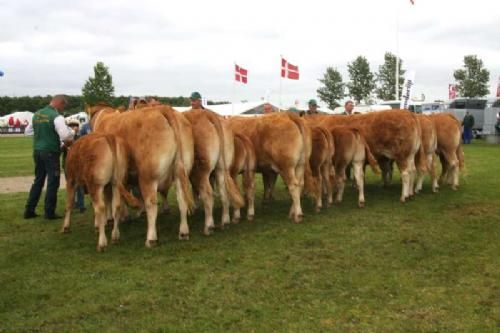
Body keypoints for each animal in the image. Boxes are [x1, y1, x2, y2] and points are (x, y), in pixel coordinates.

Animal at [88, 104, 193, 246]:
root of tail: (164, 108)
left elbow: (109, 199)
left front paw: (108, 220)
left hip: (148, 177)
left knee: (151, 204)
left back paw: (151, 239)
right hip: (181, 172)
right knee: (182, 200)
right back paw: (183, 232)